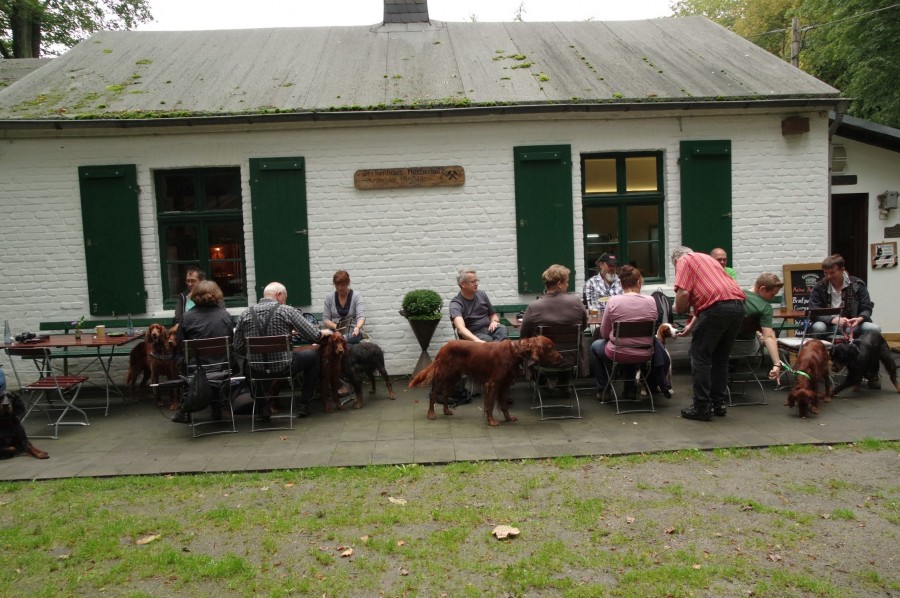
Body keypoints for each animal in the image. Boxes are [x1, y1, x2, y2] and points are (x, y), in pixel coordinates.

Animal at [408, 336, 562, 426]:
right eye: (550, 347)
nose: (561, 358)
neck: (515, 351)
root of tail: (443, 347)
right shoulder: (492, 384)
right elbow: (490, 404)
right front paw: (491, 421)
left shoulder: (505, 384)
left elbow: (504, 404)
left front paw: (508, 418)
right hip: (444, 375)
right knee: (433, 393)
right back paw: (431, 414)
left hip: (454, 376)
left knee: (445, 394)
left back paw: (446, 411)